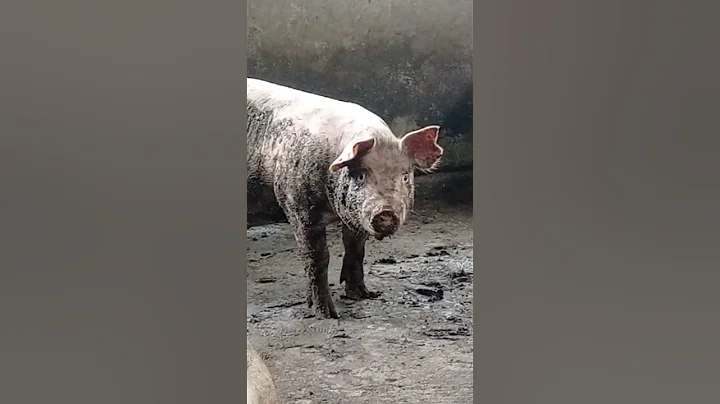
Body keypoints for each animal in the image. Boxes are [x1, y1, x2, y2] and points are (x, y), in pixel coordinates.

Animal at [247, 78, 444, 319]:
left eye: (405, 176)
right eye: (360, 176)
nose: (386, 213)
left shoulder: (356, 216)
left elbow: (355, 249)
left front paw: (364, 295)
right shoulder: (296, 204)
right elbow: (317, 257)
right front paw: (328, 314)